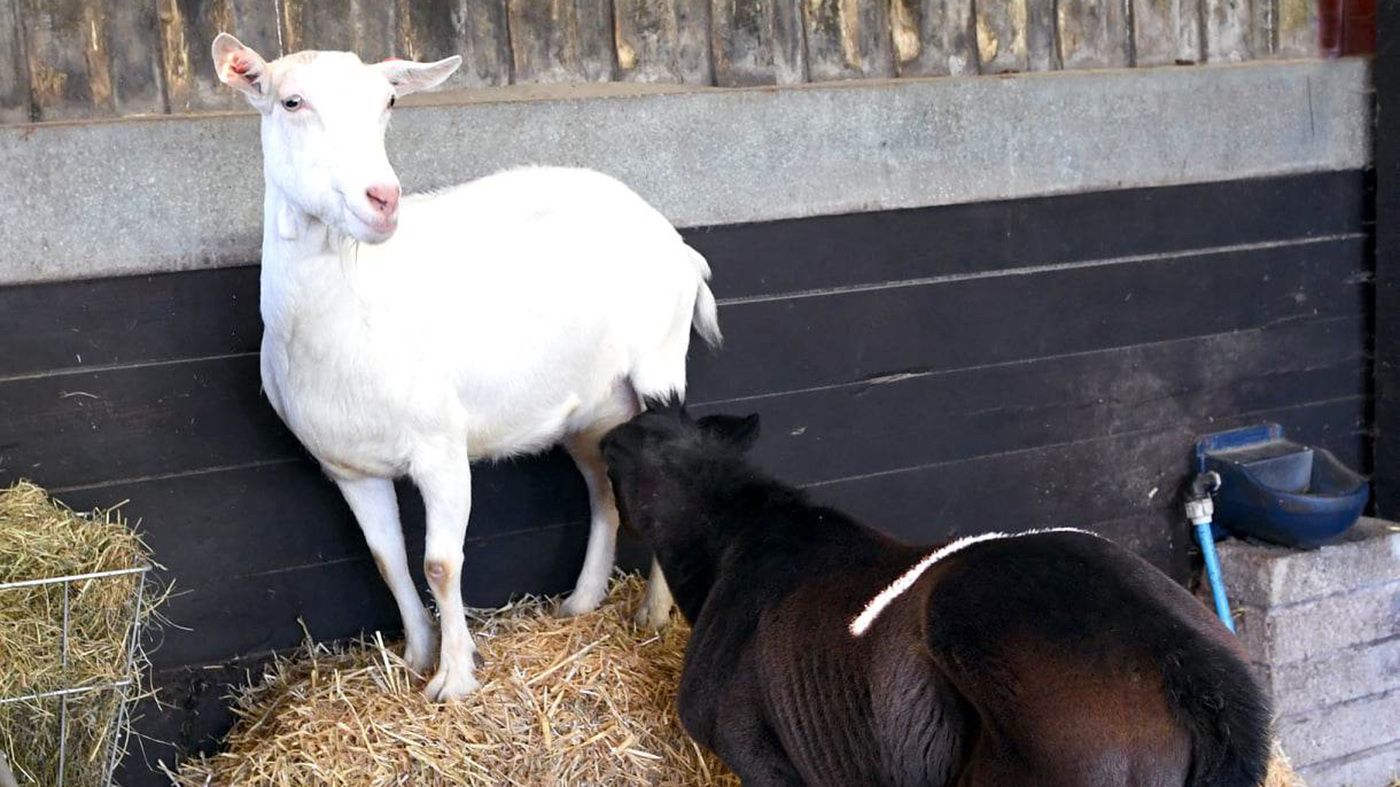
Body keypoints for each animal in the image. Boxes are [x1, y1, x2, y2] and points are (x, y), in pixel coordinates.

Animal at [210, 35, 720, 700]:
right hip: (593, 410)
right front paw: (415, 656)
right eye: (291, 101)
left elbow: (440, 563)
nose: (383, 200)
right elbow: (387, 559)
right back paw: (581, 602)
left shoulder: (440, 448)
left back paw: (654, 613)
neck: (350, 301)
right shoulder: (347, 467)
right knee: (605, 493)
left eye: (389, 102)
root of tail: (677, 243)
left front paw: (453, 679)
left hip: (659, 368)